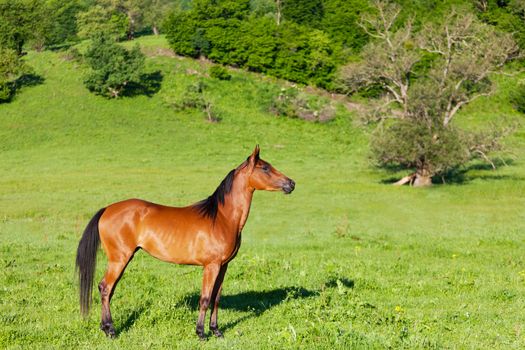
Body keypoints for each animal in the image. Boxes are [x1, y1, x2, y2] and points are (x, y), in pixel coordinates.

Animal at [74, 145, 294, 340]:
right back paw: (110, 331)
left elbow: (216, 298)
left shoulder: (223, 266)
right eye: (265, 168)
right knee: (105, 288)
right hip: (119, 259)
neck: (222, 218)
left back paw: (106, 328)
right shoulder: (211, 266)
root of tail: (107, 209)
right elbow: (205, 299)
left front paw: (216, 331)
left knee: (108, 290)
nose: (291, 184)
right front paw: (201, 333)